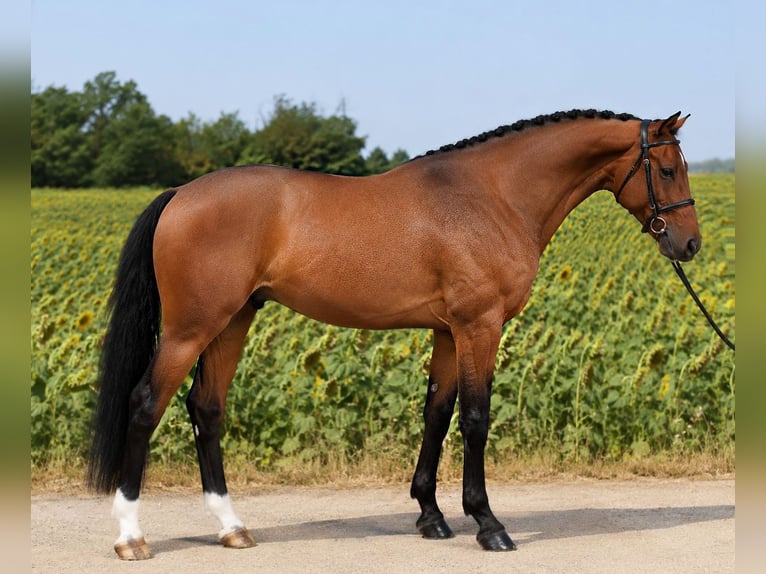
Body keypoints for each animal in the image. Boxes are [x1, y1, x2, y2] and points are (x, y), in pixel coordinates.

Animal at [86, 109, 700, 559]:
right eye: (669, 169)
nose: (689, 244)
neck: (493, 195)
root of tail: (181, 193)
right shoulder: (480, 326)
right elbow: (475, 419)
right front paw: (488, 524)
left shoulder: (449, 333)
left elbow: (437, 412)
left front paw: (431, 516)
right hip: (191, 328)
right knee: (146, 404)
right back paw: (131, 536)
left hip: (232, 322)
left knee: (206, 409)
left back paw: (232, 526)